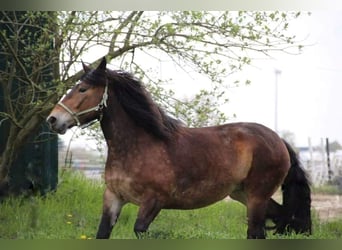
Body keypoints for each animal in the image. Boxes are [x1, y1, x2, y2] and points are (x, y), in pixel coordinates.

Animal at [46, 57, 312, 239]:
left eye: (82, 89)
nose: (53, 119)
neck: (139, 146)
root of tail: (278, 140)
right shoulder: (113, 197)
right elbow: (102, 233)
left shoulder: (153, 202)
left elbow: (139, 230)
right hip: (243, 194)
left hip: (257, 196)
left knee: (257, 232)